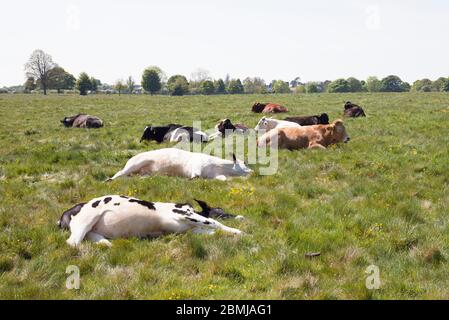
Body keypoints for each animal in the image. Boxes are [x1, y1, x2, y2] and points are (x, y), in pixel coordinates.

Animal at [58, 195, 245, 248]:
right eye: (219, 211)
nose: (241, 216)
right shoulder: (184, 213)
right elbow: (214, 223)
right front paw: (240, 232)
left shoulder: (190, 229)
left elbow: (214, 230)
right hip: (85, 221)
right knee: (72, 243)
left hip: (90, 229)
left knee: (94, 239)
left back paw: (107, 244)